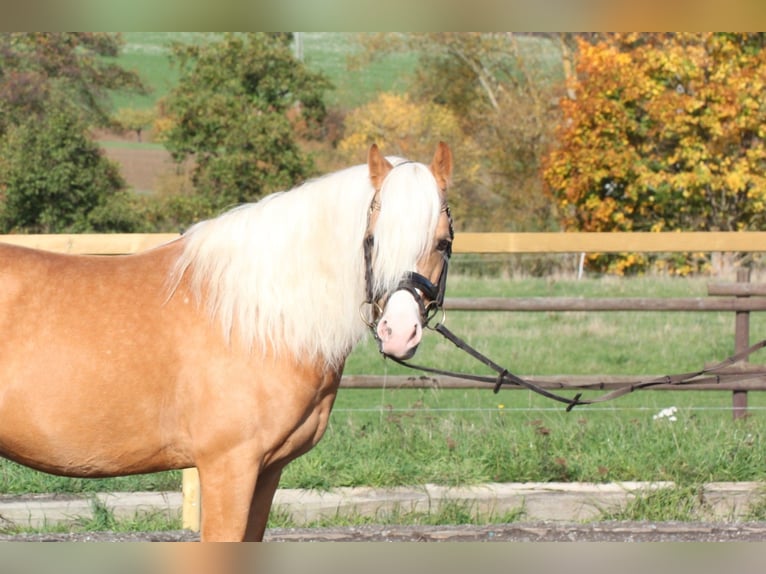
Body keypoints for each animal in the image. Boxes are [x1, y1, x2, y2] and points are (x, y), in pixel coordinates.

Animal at [0, 142, 456, 544]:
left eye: (443, 242)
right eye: (372, 240)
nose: (399, 332)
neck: (259, 319)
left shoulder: (268, 471)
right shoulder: (229, 466)